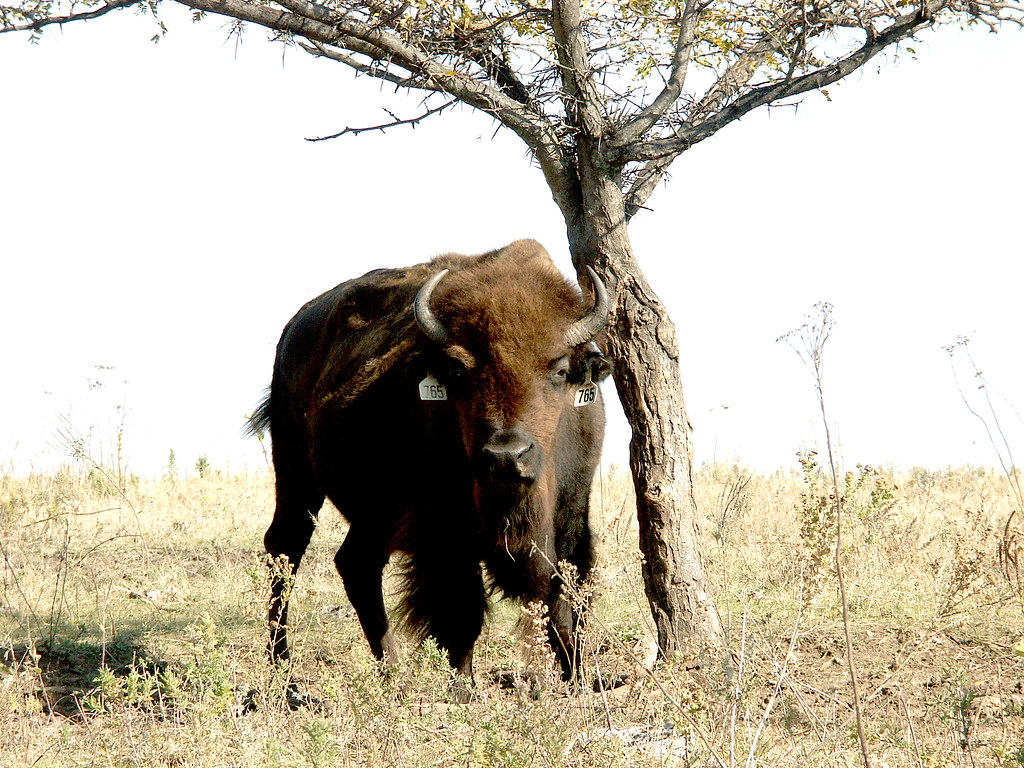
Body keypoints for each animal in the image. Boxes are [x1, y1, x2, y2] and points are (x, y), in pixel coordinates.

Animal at [248, 239, 611, 686]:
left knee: (355, 563)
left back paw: (391, 672)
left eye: (560, 370)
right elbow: (460, 611)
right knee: (285, 550)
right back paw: (283, 671)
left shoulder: (572, 512)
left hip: (374, 508)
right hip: (296, 473)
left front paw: (579, 678)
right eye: (457, 370)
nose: (506, 455)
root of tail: (293, 330)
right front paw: (463, 688)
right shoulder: (443, 528)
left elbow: (565, 597)